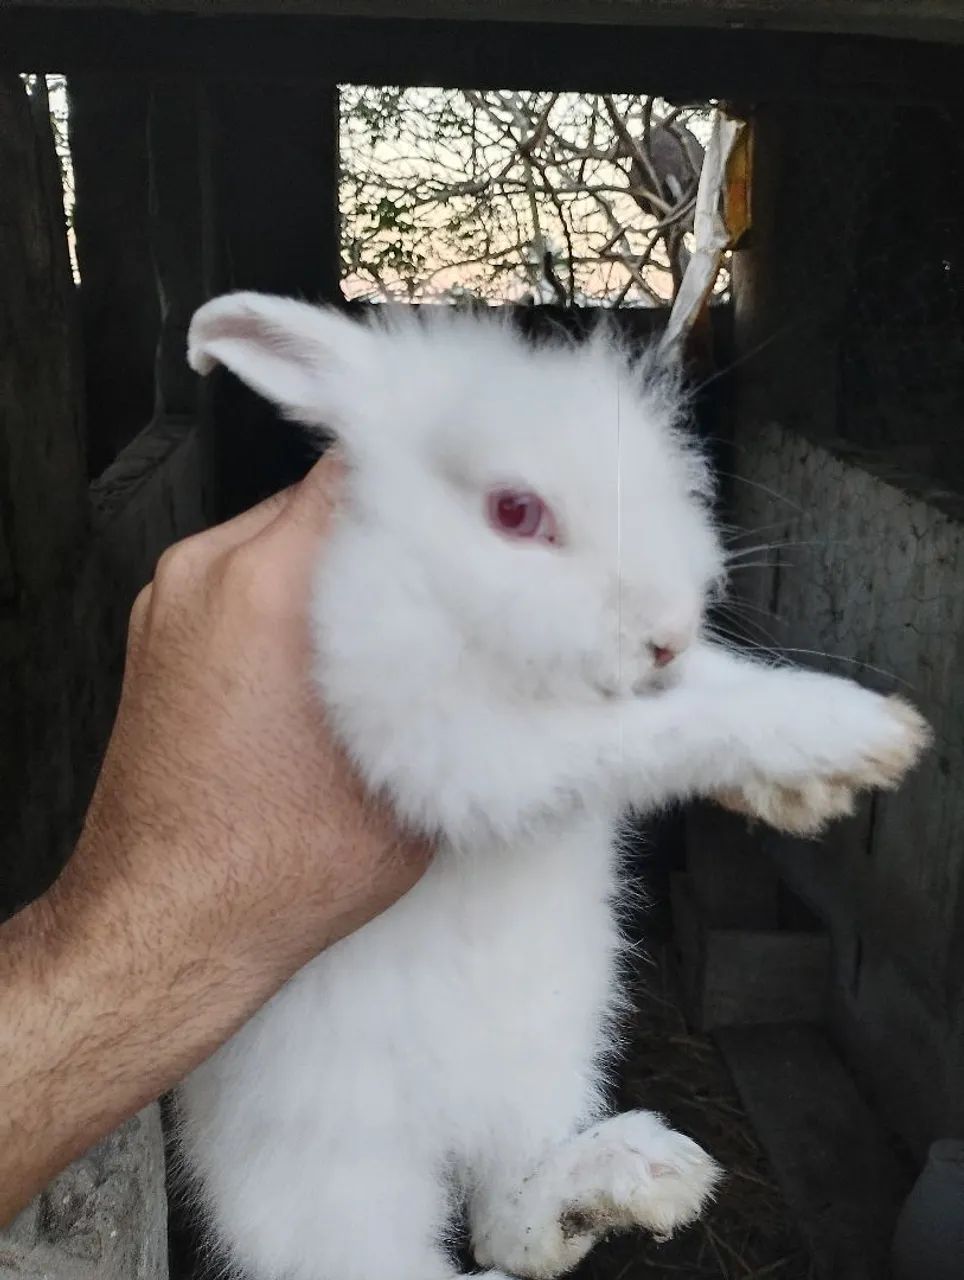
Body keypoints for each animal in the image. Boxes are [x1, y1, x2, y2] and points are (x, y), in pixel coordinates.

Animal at [177, 294, 930, 1280]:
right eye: (515, 511)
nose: (667, 633)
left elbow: (702, 692)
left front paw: (806, 766)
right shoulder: (453, 739)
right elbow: (643, 734)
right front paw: (845, 739)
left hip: (557, 1046)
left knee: (512, 1217)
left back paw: (631, 1178)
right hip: (331, 1175)